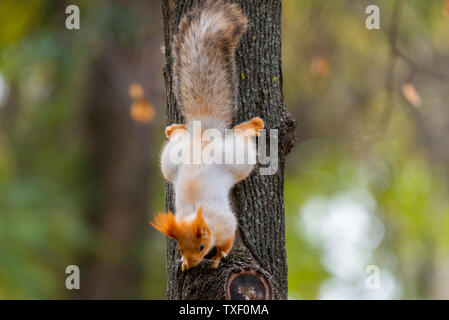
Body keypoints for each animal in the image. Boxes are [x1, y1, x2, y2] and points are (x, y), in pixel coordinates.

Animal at [150, 0, 262, 272]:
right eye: (180, 247)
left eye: (201, 247)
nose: (191, 262)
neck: (198, 216)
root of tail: (202, 135)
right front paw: (183, 264)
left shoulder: (226, 223)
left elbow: (228, 240)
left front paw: (218, 257)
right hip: (171, 161)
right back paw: (175, 129)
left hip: (236, 160)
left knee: (242, 142)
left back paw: (251, 126)